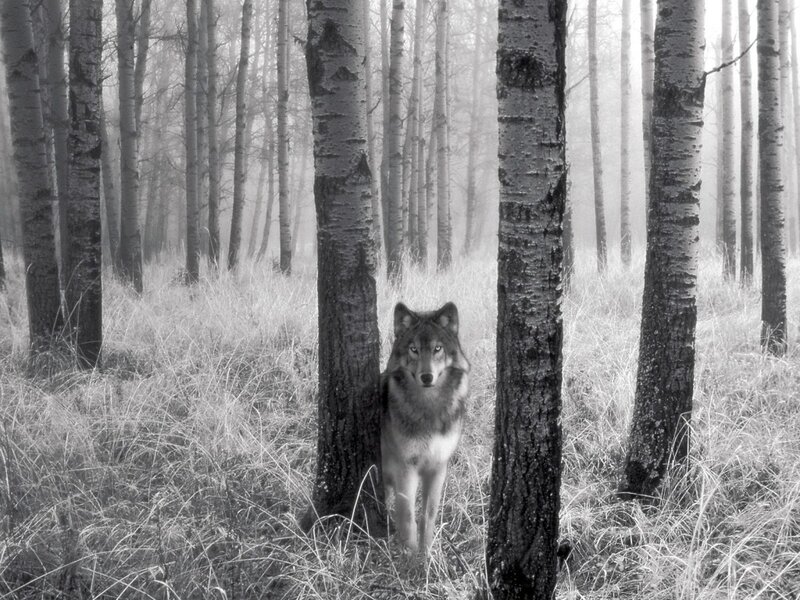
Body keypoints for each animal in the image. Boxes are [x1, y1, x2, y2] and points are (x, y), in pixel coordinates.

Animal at [381, 301, 470, 554]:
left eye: (437, 348)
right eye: (414, 349)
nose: (427, 376)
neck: (429, 408)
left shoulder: (438, 466)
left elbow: (428, 516)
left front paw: (427, 555)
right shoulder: (406, 468)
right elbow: (408, 517)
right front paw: (410, 558)